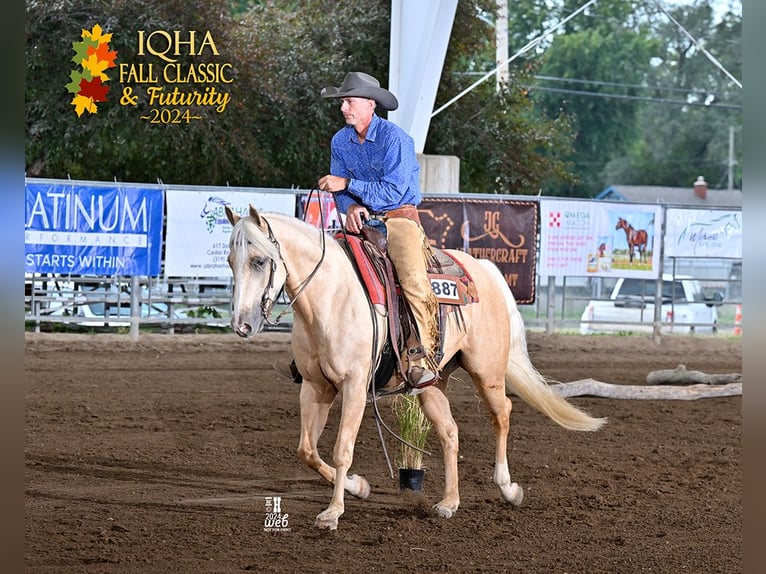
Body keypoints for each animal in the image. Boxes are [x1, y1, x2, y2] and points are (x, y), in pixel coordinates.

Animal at [225, 206, 608, 532]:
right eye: (230, 261)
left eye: (259, 260)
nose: (241, 325)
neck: (332, 296)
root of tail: (485, 270)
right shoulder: (315, 386)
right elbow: (307, 450)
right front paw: (358, 487)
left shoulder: (354, 385)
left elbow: (341, 449)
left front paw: (332, 512)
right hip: (432, 385)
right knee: (450, 432)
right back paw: (449, 502)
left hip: (487, 372)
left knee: (503, 414)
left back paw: (508, 489)